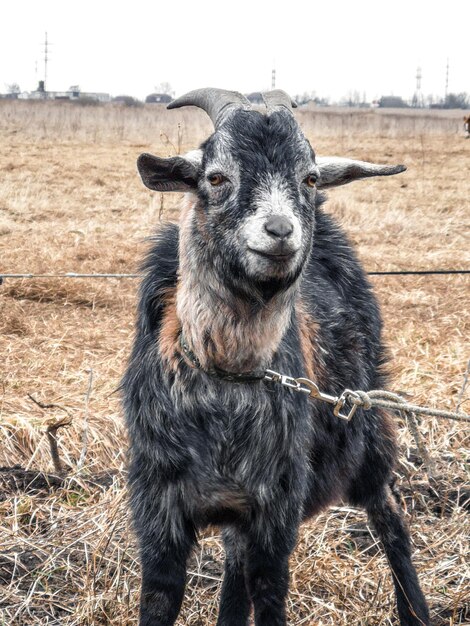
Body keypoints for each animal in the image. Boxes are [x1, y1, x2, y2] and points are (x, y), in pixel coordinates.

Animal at [122, 89, 430, 624]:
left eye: (308, 177)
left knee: (391, 521)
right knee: (233, 566)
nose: (280, 230)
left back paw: (416, 610)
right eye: (215, 177)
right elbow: (160, 600)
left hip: (368, 430)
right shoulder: (159, 515)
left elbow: (268, 595)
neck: (227, 374)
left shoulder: (274, 514)